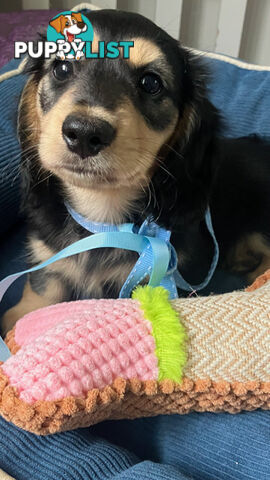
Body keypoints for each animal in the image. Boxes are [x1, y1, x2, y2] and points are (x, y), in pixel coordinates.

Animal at [3, 8, 270, 334]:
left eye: (151, 83)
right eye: (62, 68)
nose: (84, 133)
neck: (103, 220)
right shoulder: (49, 259)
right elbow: (40, 289)